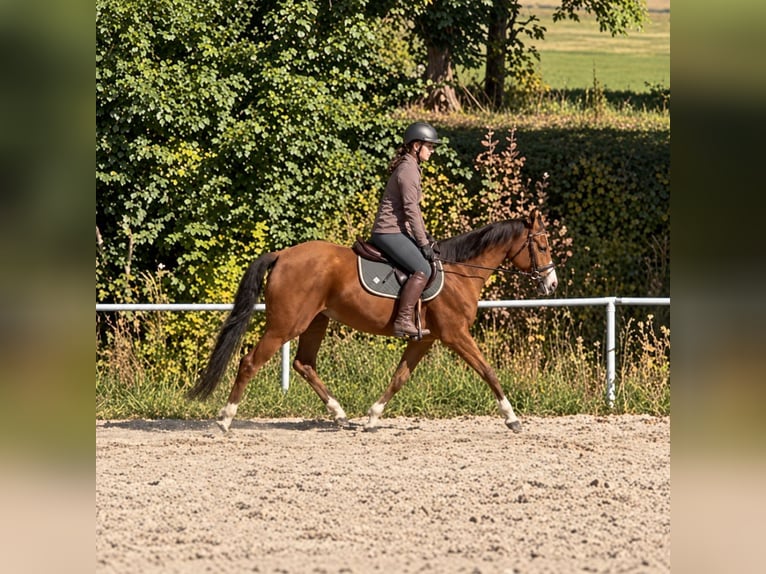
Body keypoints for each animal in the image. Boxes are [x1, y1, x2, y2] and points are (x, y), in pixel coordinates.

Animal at [187, 207, 558, 433]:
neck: (459, 272)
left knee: (304, 364)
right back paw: (225, 419)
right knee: (250, 362)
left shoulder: (424, 338)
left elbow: (399, 378)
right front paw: (512, 418)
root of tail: (282, 255)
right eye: (541, 246)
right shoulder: (455, 334)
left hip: (316, 321)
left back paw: (340, 415)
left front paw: (372, 416)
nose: (552, 284)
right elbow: (488, 371)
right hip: (285, 325)